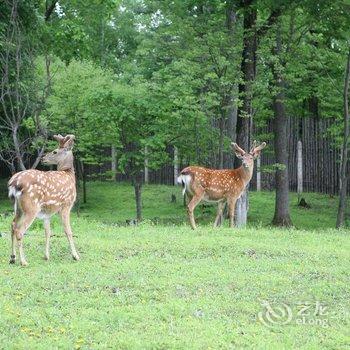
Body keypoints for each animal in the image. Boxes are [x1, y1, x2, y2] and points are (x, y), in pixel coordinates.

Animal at [7, 134, 80, 266]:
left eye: (54, 151)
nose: (43, 159)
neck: (69, 175)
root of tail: (14, 182)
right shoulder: (66, 205)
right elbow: (68, 231)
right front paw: (75, 256)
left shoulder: (47, 212)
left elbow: (47, 232)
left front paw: (46, 256)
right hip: (31, 207)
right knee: (20, 230)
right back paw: (23, 261)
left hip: (18, 207)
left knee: (13, 225)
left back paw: (13, 258)